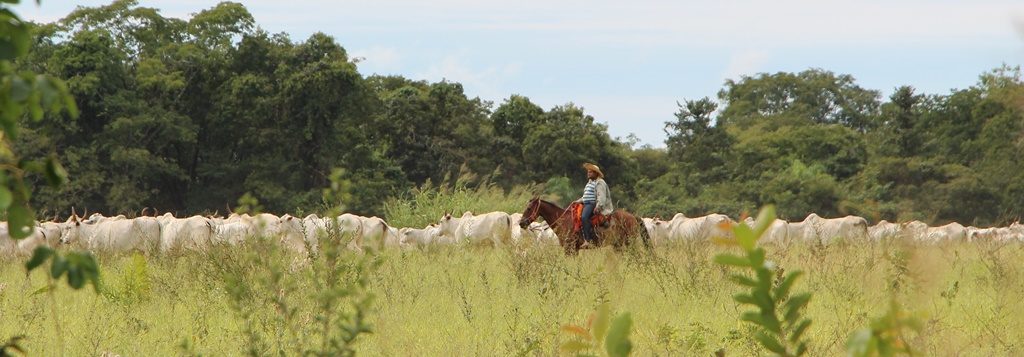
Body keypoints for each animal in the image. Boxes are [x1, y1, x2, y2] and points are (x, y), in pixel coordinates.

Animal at [516, 197, 651, 252]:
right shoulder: (574, 249)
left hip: (629, 243)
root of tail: (633, 217)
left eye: (529, 208)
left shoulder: (569, 248)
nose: (521, 223)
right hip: (618, 245)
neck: (563, 220)